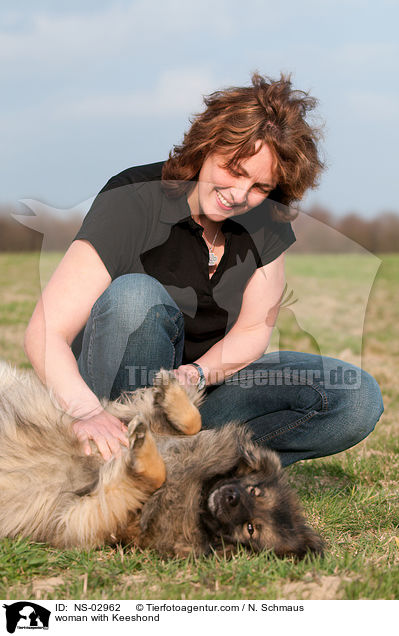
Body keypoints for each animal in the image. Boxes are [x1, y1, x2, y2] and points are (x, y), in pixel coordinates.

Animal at [0, 360, 324, 560]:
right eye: (254, 490)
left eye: (252, 529)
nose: (231, 498)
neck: (197, 486)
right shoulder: (145, 421)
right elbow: (193, 422)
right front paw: (171, 393)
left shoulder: (86, 516)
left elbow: (147, 478)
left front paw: (143, 453)